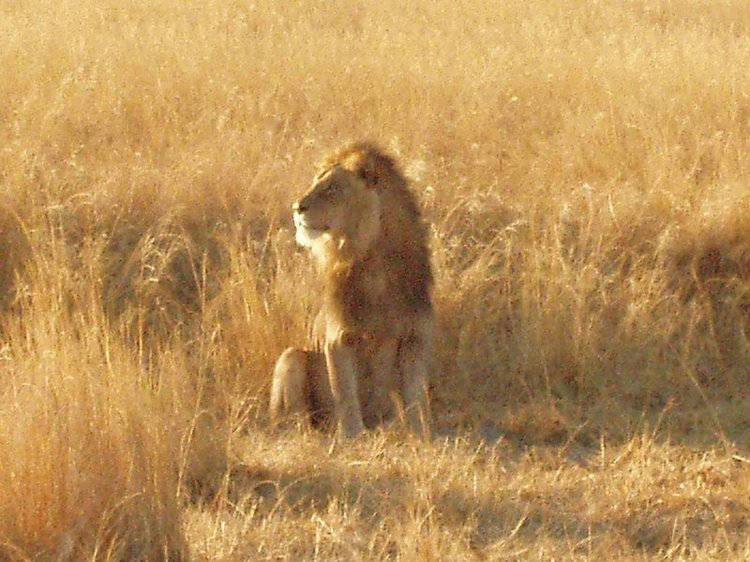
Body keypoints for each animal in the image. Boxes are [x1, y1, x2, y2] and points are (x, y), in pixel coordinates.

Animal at [270, 141, 434, 438]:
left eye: (332, 188)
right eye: (316, 181)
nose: (297, 207)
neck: (374, 260)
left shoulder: (415, 338)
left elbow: (417, 398)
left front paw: (422, 438)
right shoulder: (339, 337)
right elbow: (344, 394)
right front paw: (352, 437)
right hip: (291, 357)